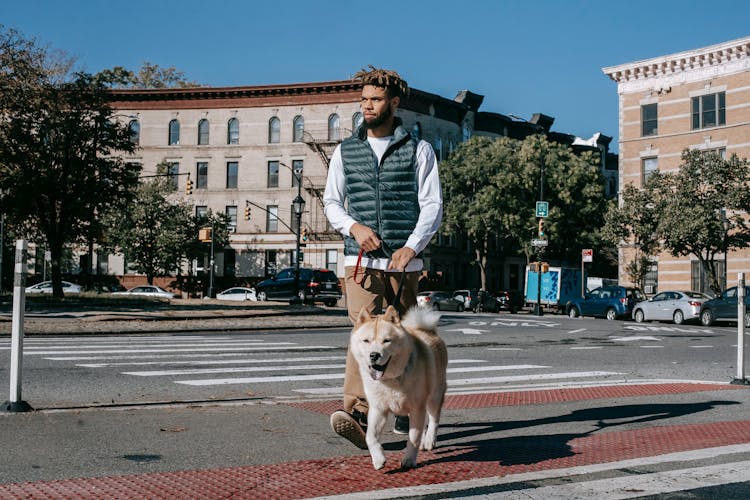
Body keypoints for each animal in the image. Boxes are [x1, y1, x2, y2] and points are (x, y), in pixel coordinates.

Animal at [352, 302, 450, 470]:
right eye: (366, 341)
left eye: (386, 340)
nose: (374, 355)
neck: (391, 380)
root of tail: (429, 331)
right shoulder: (378, 409)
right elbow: (370, 437)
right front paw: (378, 459)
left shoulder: (417, 407)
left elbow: (414, 436)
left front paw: (409, 460)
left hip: (434, 397)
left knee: (433, 419)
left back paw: (429, 440)